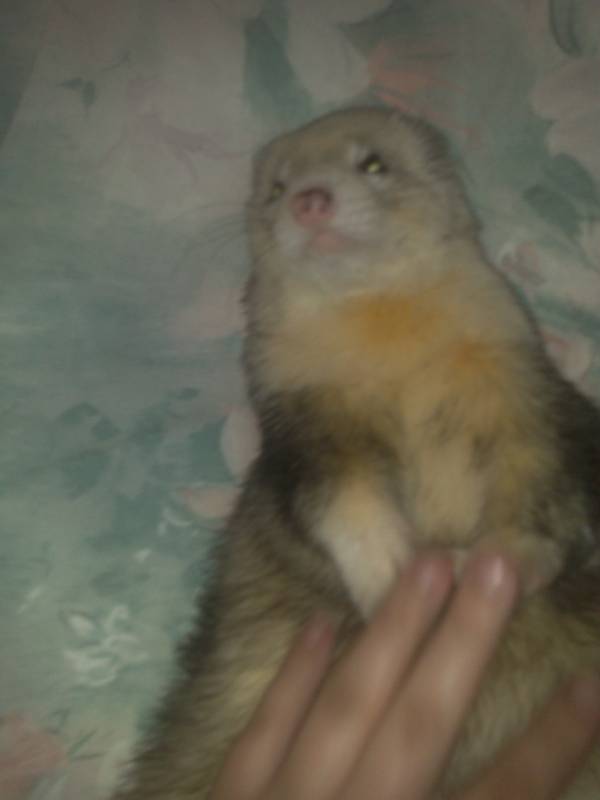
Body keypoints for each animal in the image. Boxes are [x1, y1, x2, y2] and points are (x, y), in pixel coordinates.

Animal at [111, 107, 600, 799]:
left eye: (372, 162)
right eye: (276, 187)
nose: (311, 199)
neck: (392, 351)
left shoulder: (523, 396)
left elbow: (542, 485)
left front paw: (510, 558)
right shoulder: (303, 431)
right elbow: (341, 501)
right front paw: (389, 566)